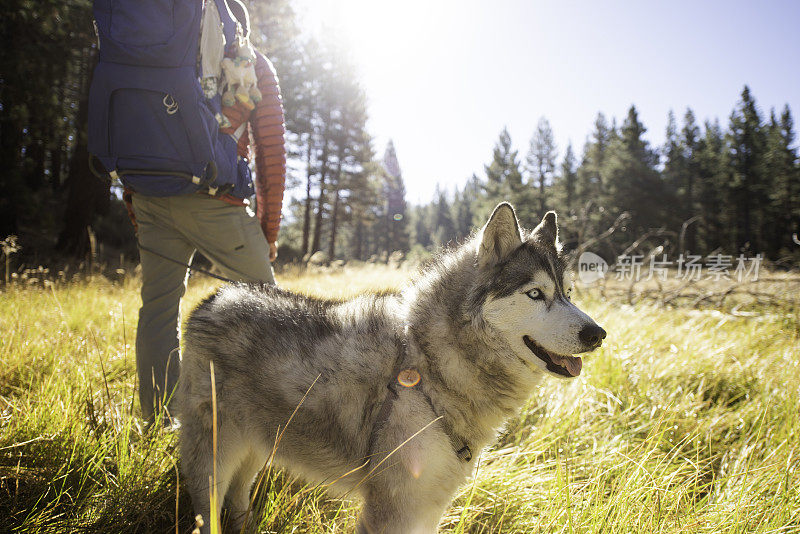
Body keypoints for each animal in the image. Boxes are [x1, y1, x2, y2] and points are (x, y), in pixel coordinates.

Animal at [178, 203, 608, 532]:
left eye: (568, 293)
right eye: (535, 294)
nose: (598, 333)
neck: (430, 366)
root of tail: (213, 297)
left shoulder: (428, 506)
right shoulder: (393, 508)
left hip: (257, 447)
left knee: (238, 499)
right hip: (216, 457)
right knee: (207, 511)